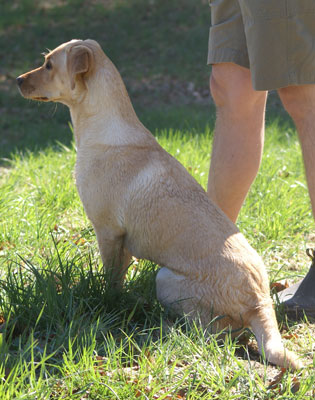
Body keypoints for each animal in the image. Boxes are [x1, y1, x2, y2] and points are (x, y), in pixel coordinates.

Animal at [16, 39, 302, 368]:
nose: (17, 80)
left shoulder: (108, 232)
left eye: (49, 65)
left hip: (165, 278)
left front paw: (108, 303)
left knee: (212, 333)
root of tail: (261, 302)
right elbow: (119, 276)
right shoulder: (123, 241)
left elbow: (109, 282)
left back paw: (166, 325)